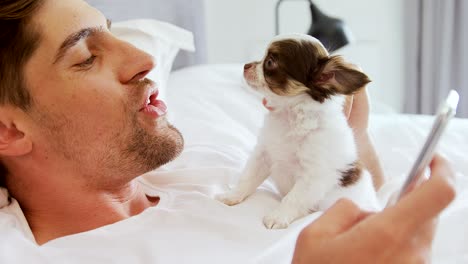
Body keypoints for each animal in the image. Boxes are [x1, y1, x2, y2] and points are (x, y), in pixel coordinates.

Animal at [218, 34, 382, 229]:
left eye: (270, 62)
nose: (245, 65)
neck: (290, 116)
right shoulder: (264, 153)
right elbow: (248, 177)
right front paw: (231, 196)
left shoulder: (312, 175)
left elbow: (293, 198)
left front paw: (277, 217)